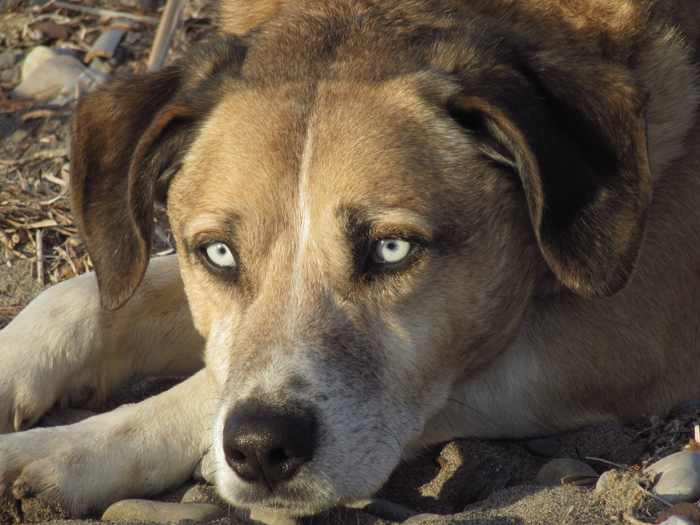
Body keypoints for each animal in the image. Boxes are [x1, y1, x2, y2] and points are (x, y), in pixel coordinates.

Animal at [1, 0, 700, 516]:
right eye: (219, 254)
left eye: (392, 249)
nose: (260, 451)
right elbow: (95, 296)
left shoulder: (620, 332)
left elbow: (203, 389)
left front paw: (69, 450)